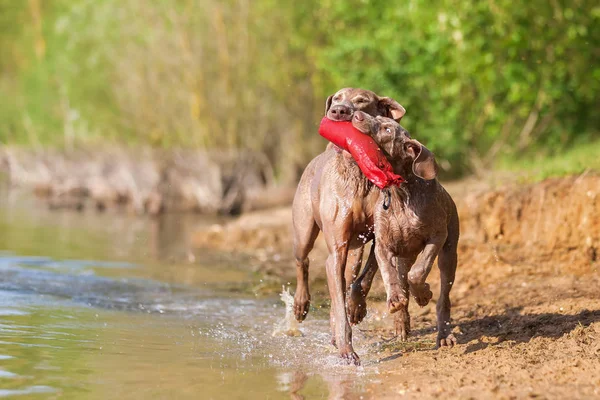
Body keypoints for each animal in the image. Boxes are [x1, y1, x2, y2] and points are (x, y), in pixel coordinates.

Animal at [290, 88, 404, 366]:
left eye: (362, 100)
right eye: (337, 97)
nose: (338, 111)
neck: (358, 170)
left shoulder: (377, 237)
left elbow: (365, 277)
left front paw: (356, 308)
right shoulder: (336, 248)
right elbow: (338, 300)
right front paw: (346, 350)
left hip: (354, 250)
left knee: (348, 278)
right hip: (304, 230)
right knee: (302, 261)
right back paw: (301, 305)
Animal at [350, 111, 458, 346]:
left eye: (388, 129)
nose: (357, 114)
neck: (401, 194)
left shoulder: (437, 236)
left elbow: (418, 273)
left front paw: (423, 294)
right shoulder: (383, 245)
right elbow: (389, 275)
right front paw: (395, 300)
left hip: (449, 253)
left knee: (443, 298)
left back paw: (444, 333)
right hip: (399, 256)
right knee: (392, 277)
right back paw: (400, 321)